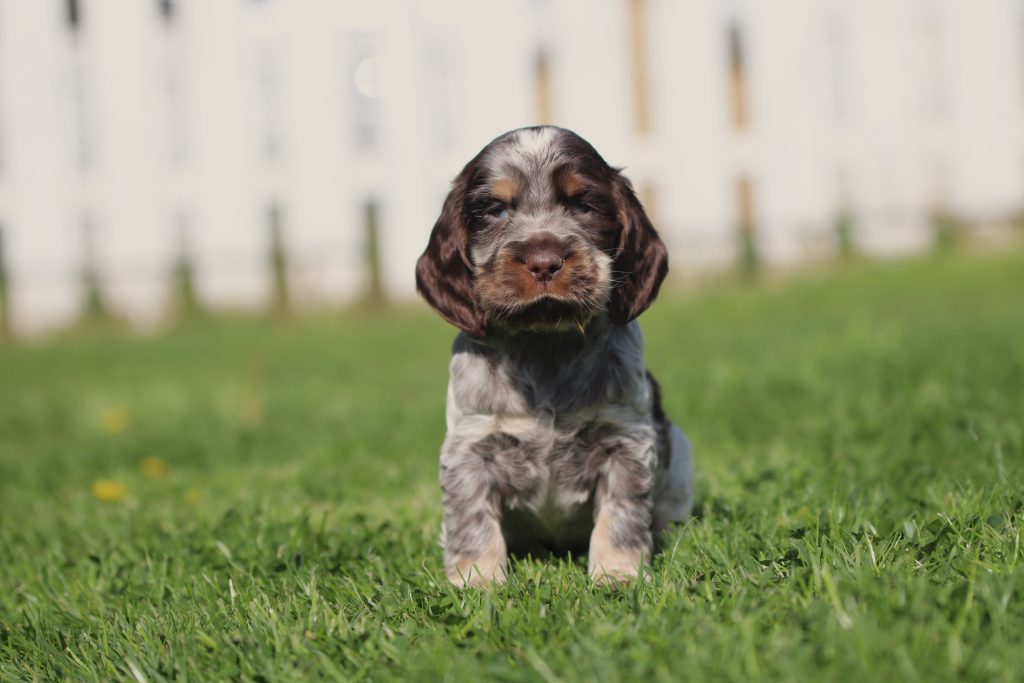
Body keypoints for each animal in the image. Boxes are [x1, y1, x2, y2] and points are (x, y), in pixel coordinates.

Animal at [415, 125, 696, 585]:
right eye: (496, 210)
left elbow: (621, 517)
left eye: (583, 205)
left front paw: (616, 575)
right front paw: (476, 581)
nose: (544, 261)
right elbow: (471, 522)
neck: (544, 345)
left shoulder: (625, 441)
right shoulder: (471, 448)